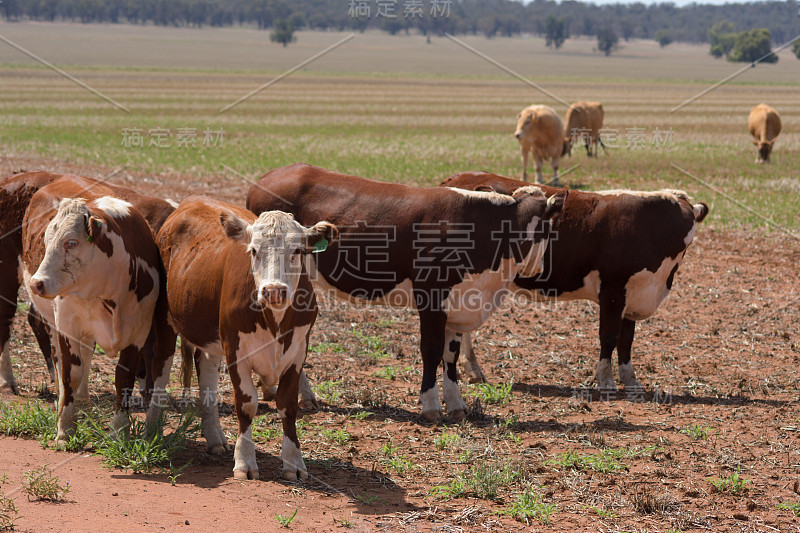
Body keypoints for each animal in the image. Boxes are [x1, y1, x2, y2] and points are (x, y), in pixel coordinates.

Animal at [22, 179, 166, 440]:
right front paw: (65, 428)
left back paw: (84, 406)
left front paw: (120, 430)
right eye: (46, 241)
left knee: (87, 359)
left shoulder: (138, 332)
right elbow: (71, 374)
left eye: (71, 242)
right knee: (63, 363)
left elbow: (124, 378)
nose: (37, 283)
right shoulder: (68, 326)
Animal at [158, 195, 336, 478]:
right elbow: (246, 404)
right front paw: (244, 462)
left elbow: (288, 405)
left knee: (206, 372)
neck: (275, 321)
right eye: (253, 250)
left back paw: (214, 438)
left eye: (297, 251)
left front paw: (294, 462)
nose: (273, 290)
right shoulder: (235, 348)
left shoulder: (298, 350)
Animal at [247, 162, 564, 420]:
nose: (537, 268)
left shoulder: (459, 303)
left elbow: (450, 356)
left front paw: (456, 404)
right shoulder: (431, 297)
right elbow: (432, 351)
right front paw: (431, 406)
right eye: (544, 229)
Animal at [440, 170, 708, 390]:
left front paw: (630, 380)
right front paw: (606, 380)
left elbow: (626, 340)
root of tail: (455, 179)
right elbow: (609, 335)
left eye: (689, 224)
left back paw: (472, 371)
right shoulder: (613, 291)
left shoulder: (635, 294)